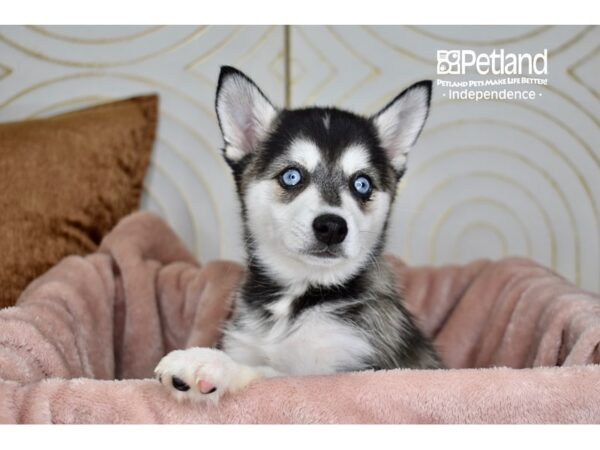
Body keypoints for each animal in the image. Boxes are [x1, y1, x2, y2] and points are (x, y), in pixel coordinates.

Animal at [157, 65, 442, 402]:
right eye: (292, 176)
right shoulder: (244, 339)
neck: (298, 295)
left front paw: (206, 362)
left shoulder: (350, 371)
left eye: (362, 184)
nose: (332, 227)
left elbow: (271, 372)